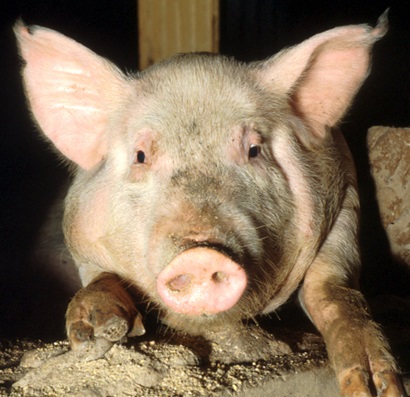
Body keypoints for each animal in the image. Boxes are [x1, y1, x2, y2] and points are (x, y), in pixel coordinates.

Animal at [13, 12, 406, 396]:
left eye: (254, 149)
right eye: (141, 156)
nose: (201, 254)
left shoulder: (343, 196)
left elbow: (331, 286)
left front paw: (377, 387)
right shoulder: (80, 233)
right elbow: (100, 276)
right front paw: (93, 331)